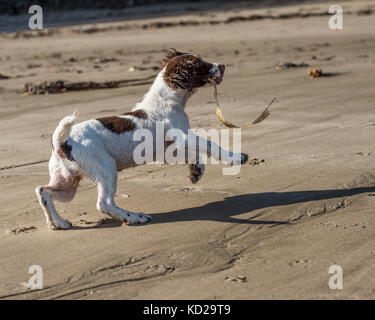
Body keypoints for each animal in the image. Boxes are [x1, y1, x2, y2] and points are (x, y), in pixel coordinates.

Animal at [34, 49, 247, 230]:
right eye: (200, 63)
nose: (223, 66)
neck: (165, 100)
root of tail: (61, 143)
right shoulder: (184, 136)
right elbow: (211, 145)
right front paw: (236, 158)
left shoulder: (166, 149)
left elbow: (195, 156)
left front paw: (196, 172)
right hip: (105, 167)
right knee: (104, 203)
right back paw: (135, 217)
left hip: (67, 182)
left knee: (43, 191)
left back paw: (57, 223)